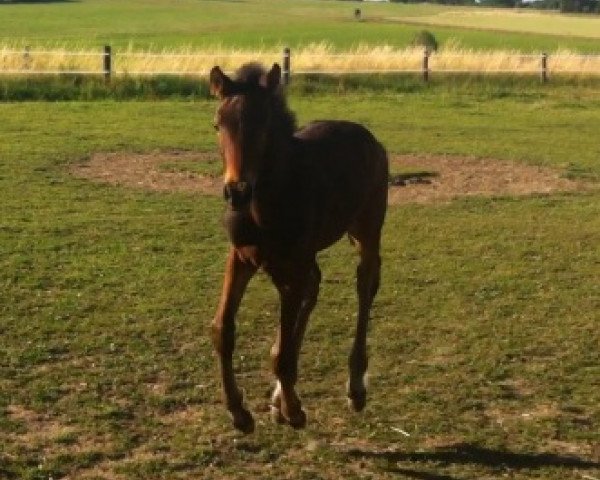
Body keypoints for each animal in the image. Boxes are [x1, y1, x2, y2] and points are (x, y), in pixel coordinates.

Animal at [210, 62, 390, 434]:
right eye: (218, 125)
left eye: (264, 125)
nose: (236, 192)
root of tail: (369, 138)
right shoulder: (241, 259)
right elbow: (223, 330)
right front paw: (239, 412)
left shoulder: (291, 268)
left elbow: (284, 353)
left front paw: (293, 410)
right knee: (315, 285)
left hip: (366, 232)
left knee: (365, 284)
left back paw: (355, 389)